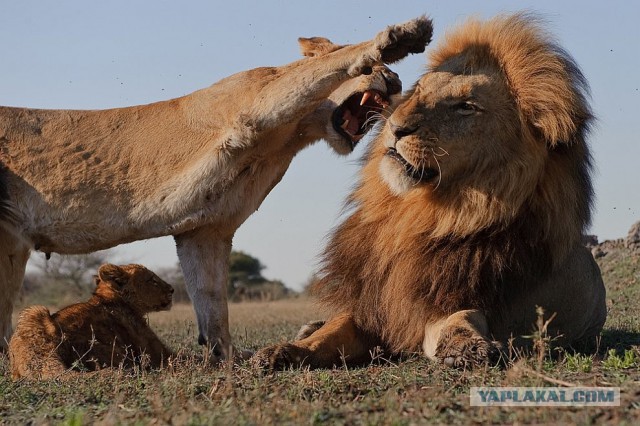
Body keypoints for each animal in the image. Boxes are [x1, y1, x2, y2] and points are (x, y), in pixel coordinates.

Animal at [0, 17, 432, 360]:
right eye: (375, 68)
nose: (395, 81)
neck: (289, 136)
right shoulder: (256, 101)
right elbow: (318, 69)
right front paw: (403, 36)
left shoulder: (205, 230)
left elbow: (211, 302)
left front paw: (226, 359)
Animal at [255, 14, 604, 370]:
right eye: (420, 89)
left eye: (466, 107)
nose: (395, 128)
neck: (412, 216)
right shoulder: (374, 307)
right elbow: (334, 328)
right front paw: (283, 351)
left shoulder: (438, 304)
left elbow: (460, 319)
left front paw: (466, 348)